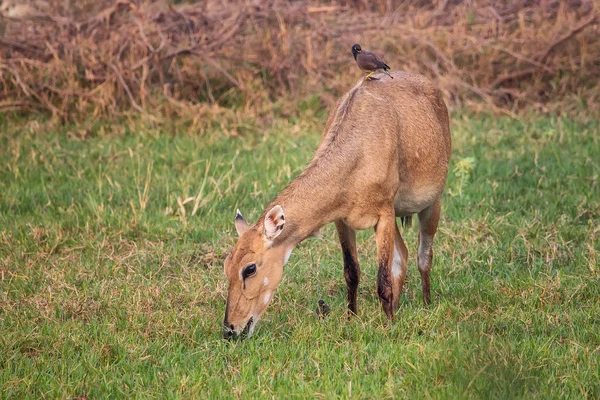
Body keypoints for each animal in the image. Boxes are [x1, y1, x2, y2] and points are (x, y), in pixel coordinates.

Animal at [224, 71, 450, 338]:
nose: (230, 330)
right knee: (402, 254)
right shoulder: (341, 218)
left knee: (423, 255)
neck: (357, 157)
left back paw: (426, 304)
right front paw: (352, 317)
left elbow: (382, 278)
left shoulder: (384, 212)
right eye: (226, 265)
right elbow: (351, 271)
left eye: (249, 268)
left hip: (432, 201)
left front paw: (388, 326)